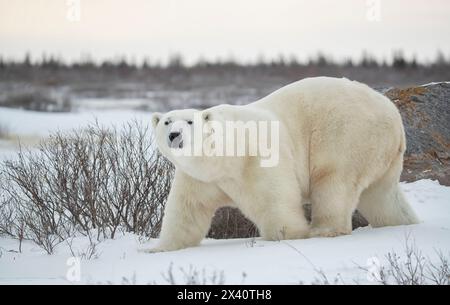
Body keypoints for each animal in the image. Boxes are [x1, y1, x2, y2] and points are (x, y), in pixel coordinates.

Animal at [148, 76, 418, 252]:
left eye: (190, 121)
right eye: (167, 121)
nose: (174, 135)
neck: (226, 157)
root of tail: (393, 115)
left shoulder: (258, 156)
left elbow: (274, 198)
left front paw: (289, 235)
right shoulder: (200, 177)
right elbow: (186, 210)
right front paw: (158, 248)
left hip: (348, 134)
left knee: (334, 182)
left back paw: (322, 230)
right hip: (382, 156)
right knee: (382, 196)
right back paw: (403, 222)